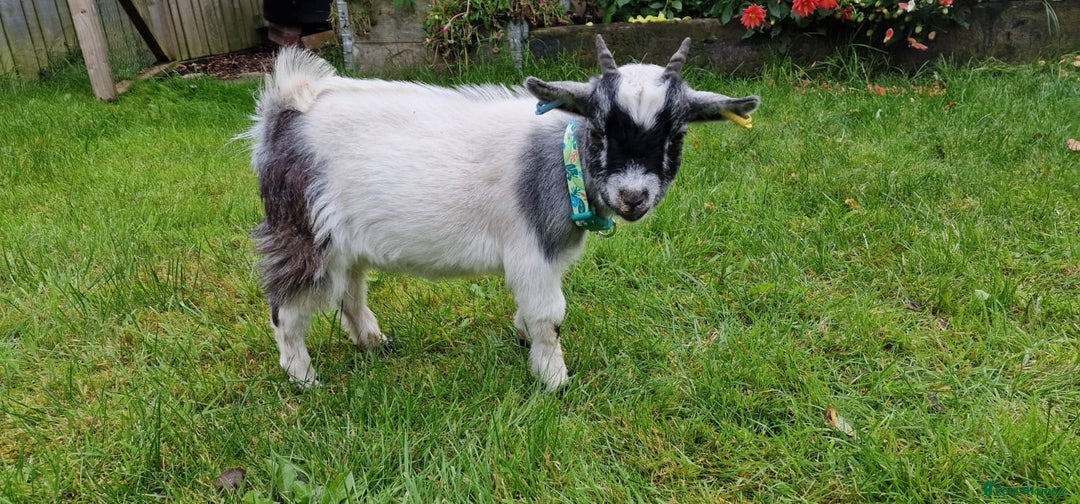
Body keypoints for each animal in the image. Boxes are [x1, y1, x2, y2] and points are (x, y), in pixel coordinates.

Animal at [245, 35, 760, 389]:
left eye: (676, 134)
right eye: (599, 128)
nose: (633, 196)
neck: (563, 159)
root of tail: (285, 107)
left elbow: (533, 314)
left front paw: (523, 340)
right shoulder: (530, 251)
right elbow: (550, 315)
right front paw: (554, 380)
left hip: (344, 243)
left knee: (350, 291)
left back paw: (374, 343)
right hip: (303, 231)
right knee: (286, 306)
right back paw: (303, 377)